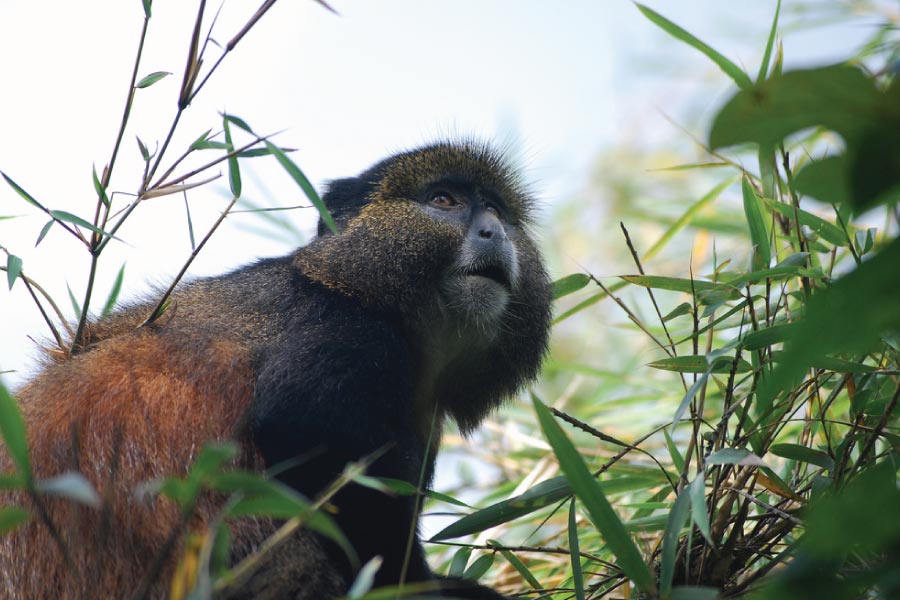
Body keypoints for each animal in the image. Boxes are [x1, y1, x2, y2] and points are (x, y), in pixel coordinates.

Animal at [0, 140, 552, 599]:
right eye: (444, 200)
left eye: (496, 211)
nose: (492, 231)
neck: (360, 289)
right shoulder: (346, 333)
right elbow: (309, 430)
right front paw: (420, 589)